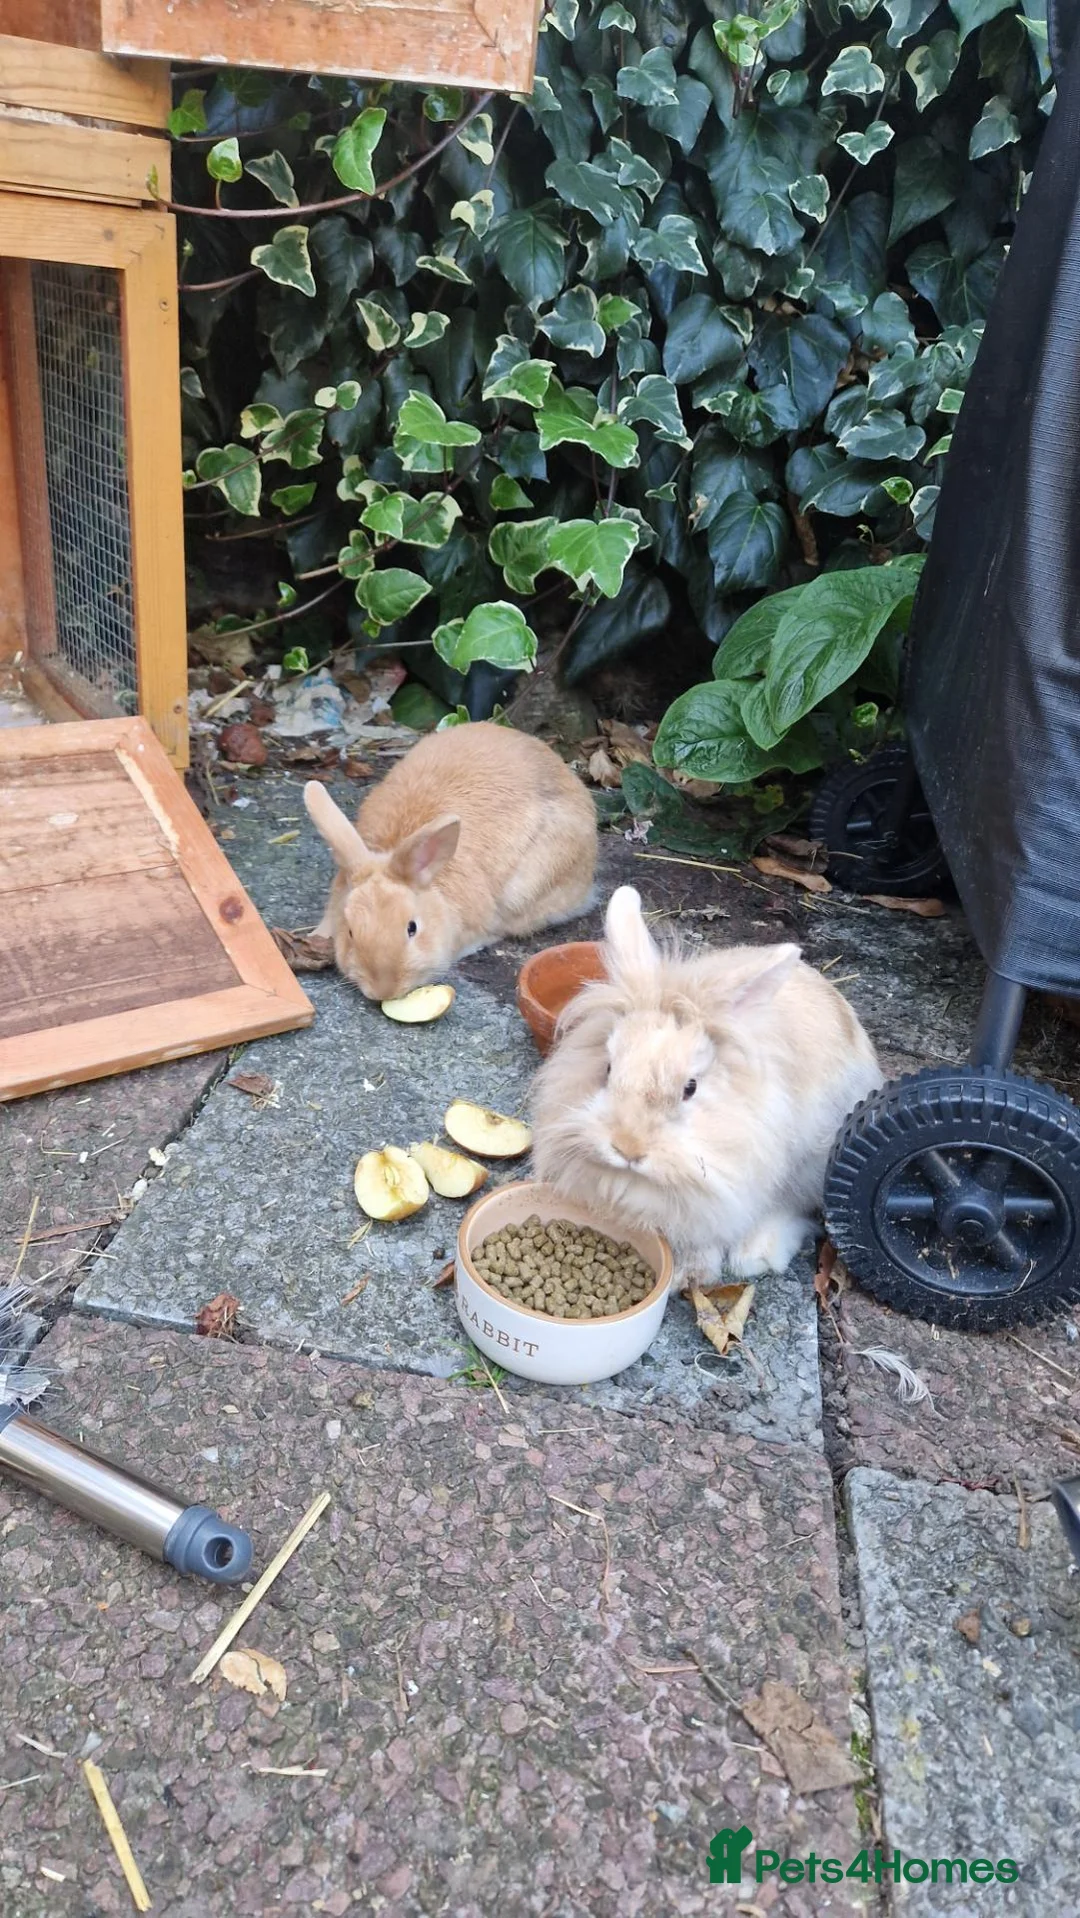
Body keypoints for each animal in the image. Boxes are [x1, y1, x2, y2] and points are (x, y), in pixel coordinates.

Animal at [531, 885, 882, 1286]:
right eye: (607, 1068)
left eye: (690, 1088)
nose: (627, 1149)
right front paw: (688, 1273)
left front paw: (697, 1274)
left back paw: (756, 1254)